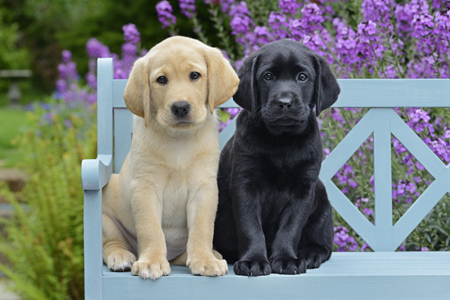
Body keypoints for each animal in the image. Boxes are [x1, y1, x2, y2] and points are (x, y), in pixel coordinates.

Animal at [101, 36, 239, 280]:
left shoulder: (203, 187)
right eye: (162, 80)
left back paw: (210, 254)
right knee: (111, 242)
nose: (180, 107)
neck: (178, 140)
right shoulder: (145, 186)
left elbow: (202, 228)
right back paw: (121, 256)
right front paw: (151, 261)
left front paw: (204, 260)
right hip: (105, 213)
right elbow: (150, 228)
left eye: (194, 75)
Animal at [213, 39, 340, 276]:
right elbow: (250, 226)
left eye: (302, 77)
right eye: (268, 76)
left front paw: (286, 259)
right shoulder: (245, 184)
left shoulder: (304, 188)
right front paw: (253, 261)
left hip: (320, 195)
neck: (282, 141)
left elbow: (291, 227)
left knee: (323, 245)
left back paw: (310, 254)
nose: (285, 102)